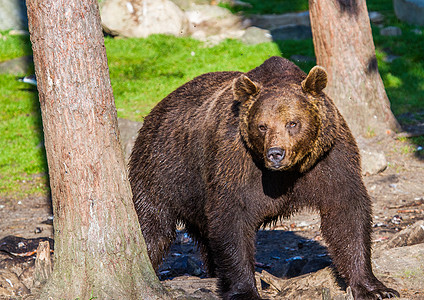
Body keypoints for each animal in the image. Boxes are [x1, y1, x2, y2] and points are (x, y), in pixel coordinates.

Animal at [128, 56, 398, 300]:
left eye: (292, 123)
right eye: (262, 126)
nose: (276, 153)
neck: (290, 172)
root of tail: (159, 105)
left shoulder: (330, 158)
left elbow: (347, 212)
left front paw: (374, 288)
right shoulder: (235, 161)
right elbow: (232, 220)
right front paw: (244, 291)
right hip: (164, 168)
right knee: (153, 225)